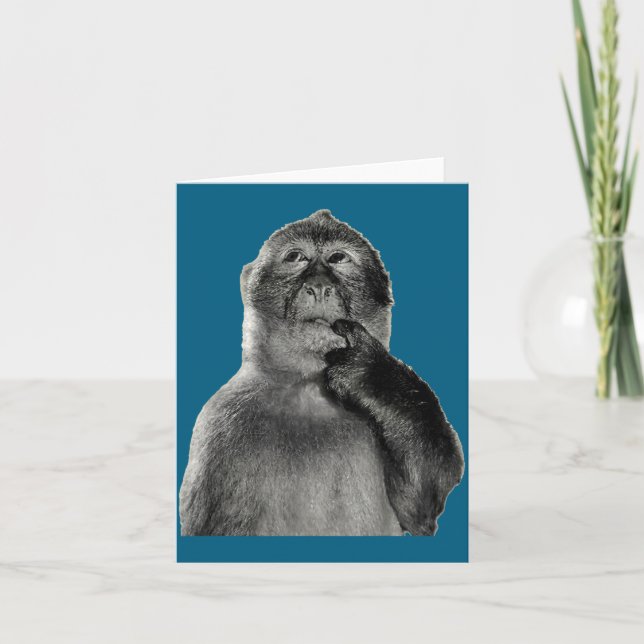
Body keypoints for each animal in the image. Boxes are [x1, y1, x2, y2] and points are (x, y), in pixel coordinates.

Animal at [179, 209, 464, 536]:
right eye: (295, 257)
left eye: (338, 258)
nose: (318, 287)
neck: (308, 387)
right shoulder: (220, 425)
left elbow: (420, 508)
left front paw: (371, 372)